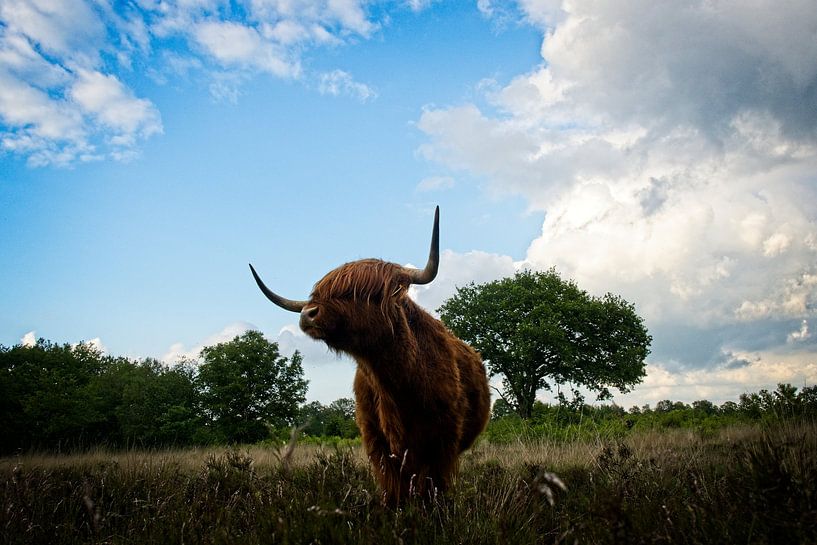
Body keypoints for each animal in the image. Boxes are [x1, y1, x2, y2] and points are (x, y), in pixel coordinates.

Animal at [252, 206, 488, 504]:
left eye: (364, 293)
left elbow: (432, 489)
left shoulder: (443, 443)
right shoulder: (377, 444)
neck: (399, 387)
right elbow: (395, 491)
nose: (308, 313)